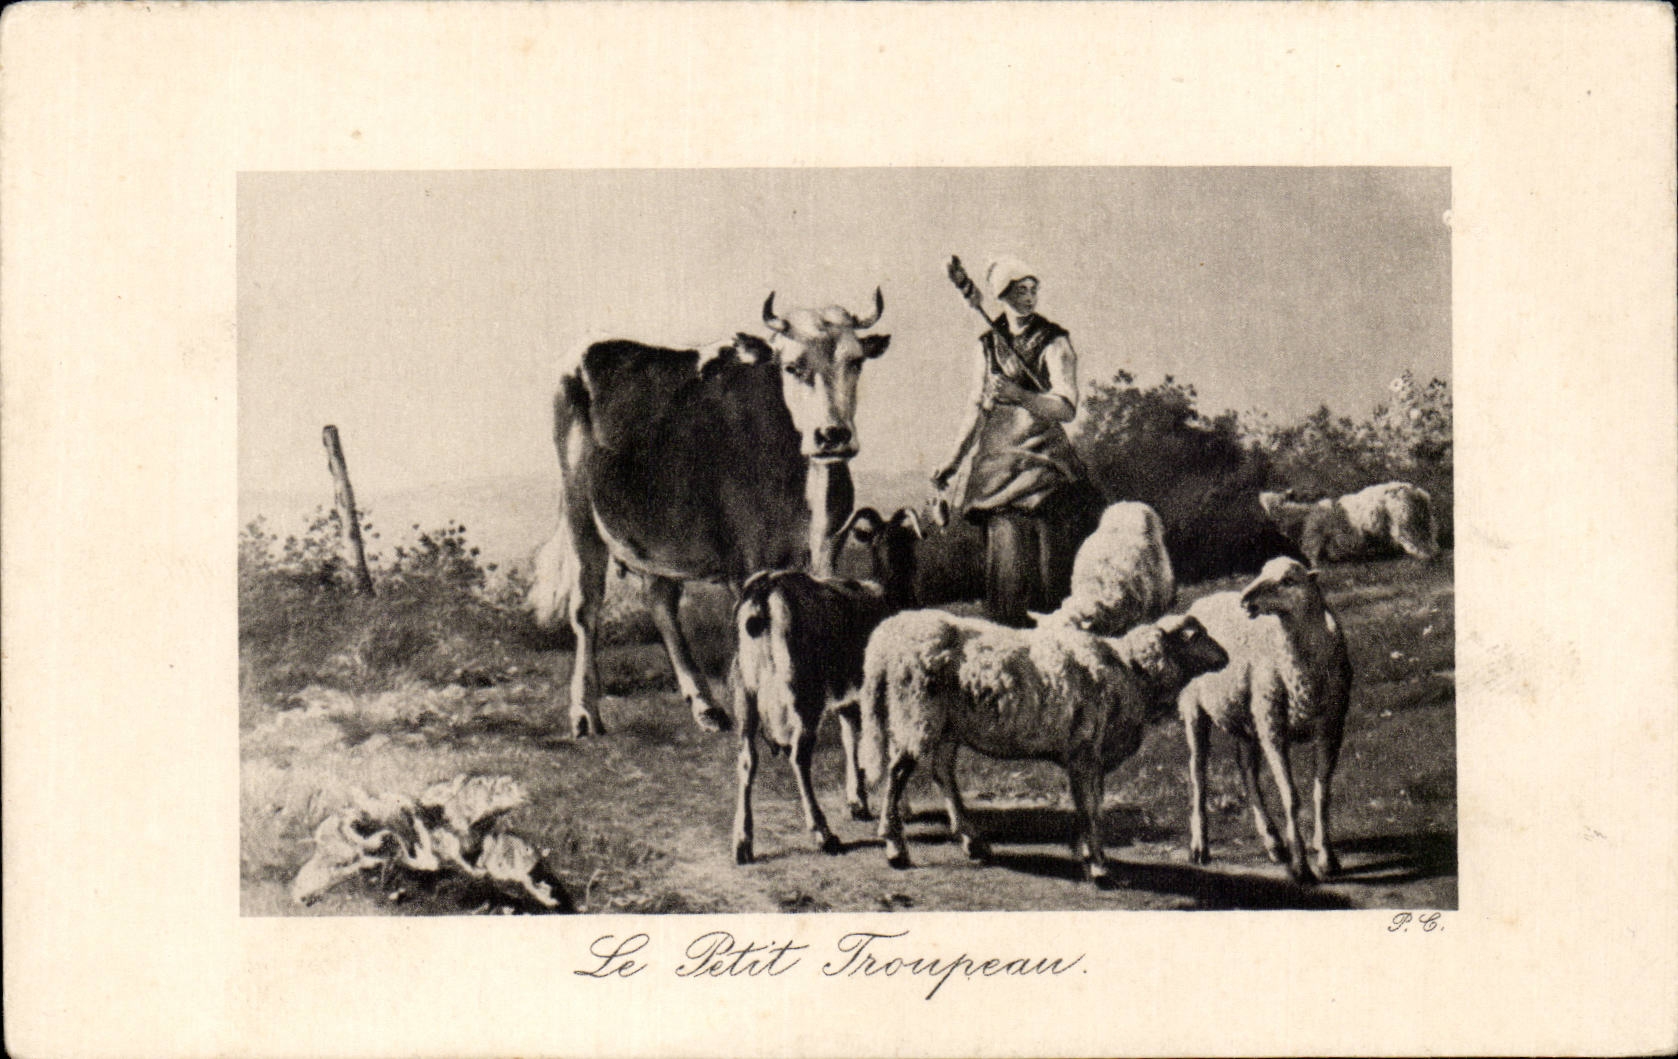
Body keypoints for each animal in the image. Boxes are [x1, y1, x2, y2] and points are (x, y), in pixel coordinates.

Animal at [530, 290, 891, 737]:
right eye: (792, 366)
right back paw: (584, 713)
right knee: (586, 606)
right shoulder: (750, 558)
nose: (832, 435)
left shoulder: (827, 546)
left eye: (855, 361)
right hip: (580, 508)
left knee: (661, 601)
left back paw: (705, 706)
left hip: (656, 530)